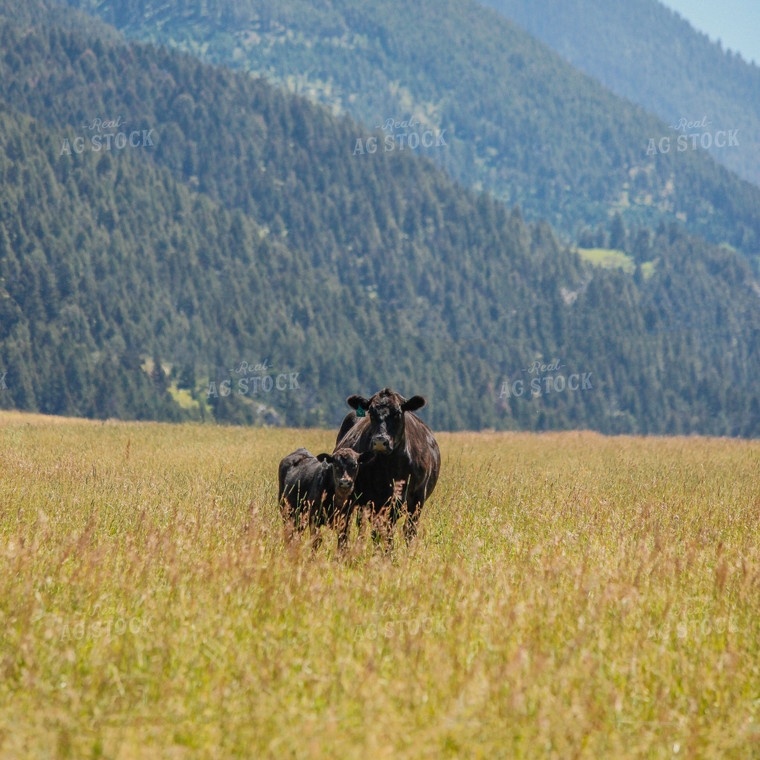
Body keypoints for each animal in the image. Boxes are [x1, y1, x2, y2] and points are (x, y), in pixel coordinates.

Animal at [332, 386, 440, 540]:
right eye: (371, 412)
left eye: (398, 413)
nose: (380, 441)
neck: (394, 465)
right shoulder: (376, 500)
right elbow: (381, 533)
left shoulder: (418, 497)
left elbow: (409, 531)